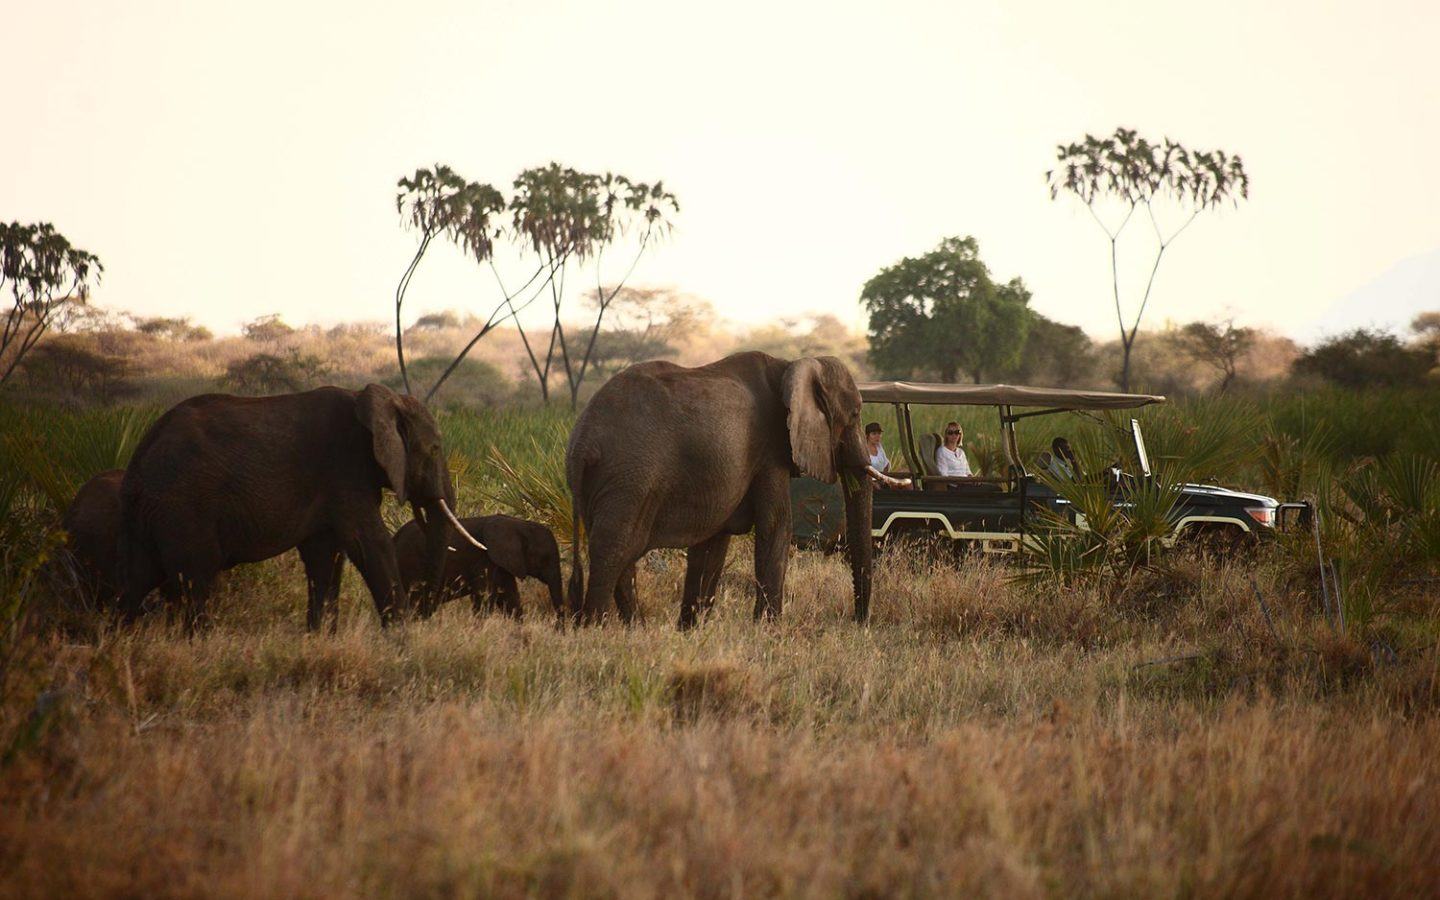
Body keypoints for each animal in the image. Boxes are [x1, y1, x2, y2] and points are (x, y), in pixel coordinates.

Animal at [118, 383, 478, 627]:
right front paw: (403, 642)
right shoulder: (344, 468)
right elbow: (369, 544)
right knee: (195, 579)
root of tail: (142, 452)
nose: (423, 612)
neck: (380, 400)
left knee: (136, 579)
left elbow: (325, 555)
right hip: (184, 507)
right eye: (435, 448)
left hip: (149, 512)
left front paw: (320, 640)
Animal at [400, 512, 567, 616]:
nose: (560, 630)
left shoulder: (501, 562)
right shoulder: (484, 558)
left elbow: (510, 599)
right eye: (545, 559)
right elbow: (485, 598)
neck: (518, 524)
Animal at [561, 347, 875, 627]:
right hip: (630, 477)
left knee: (621, 555)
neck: (789, 365)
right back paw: (596, 629)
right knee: (614, 549)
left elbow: (713, 543)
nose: (858, 621)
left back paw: (636, 630)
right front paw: (767, 631)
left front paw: (691, 631)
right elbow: (776, 526)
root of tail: (583, 441)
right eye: (855, 414)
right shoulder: (770, 450)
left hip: (603, 485)